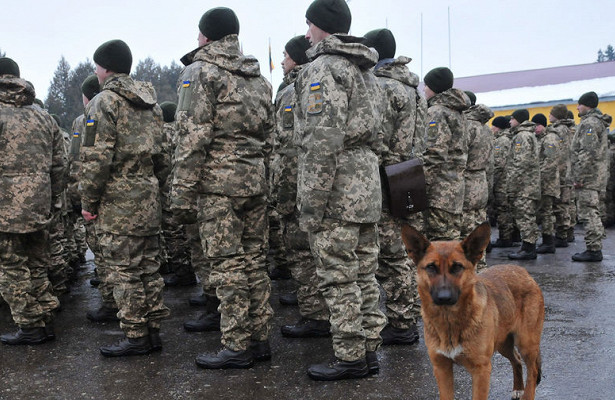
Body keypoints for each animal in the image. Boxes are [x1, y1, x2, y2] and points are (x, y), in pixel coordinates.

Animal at [404, 222, 544, 400]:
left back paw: (526, 393)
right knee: (517, 360)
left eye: (457, 267)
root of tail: (524, 272)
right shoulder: (442, 368)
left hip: (526, 342)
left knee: (532, 371)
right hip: (503, 342)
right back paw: (518, 388)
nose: (444, 297)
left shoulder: (481, 370)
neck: (450, 321)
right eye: (431, 267)